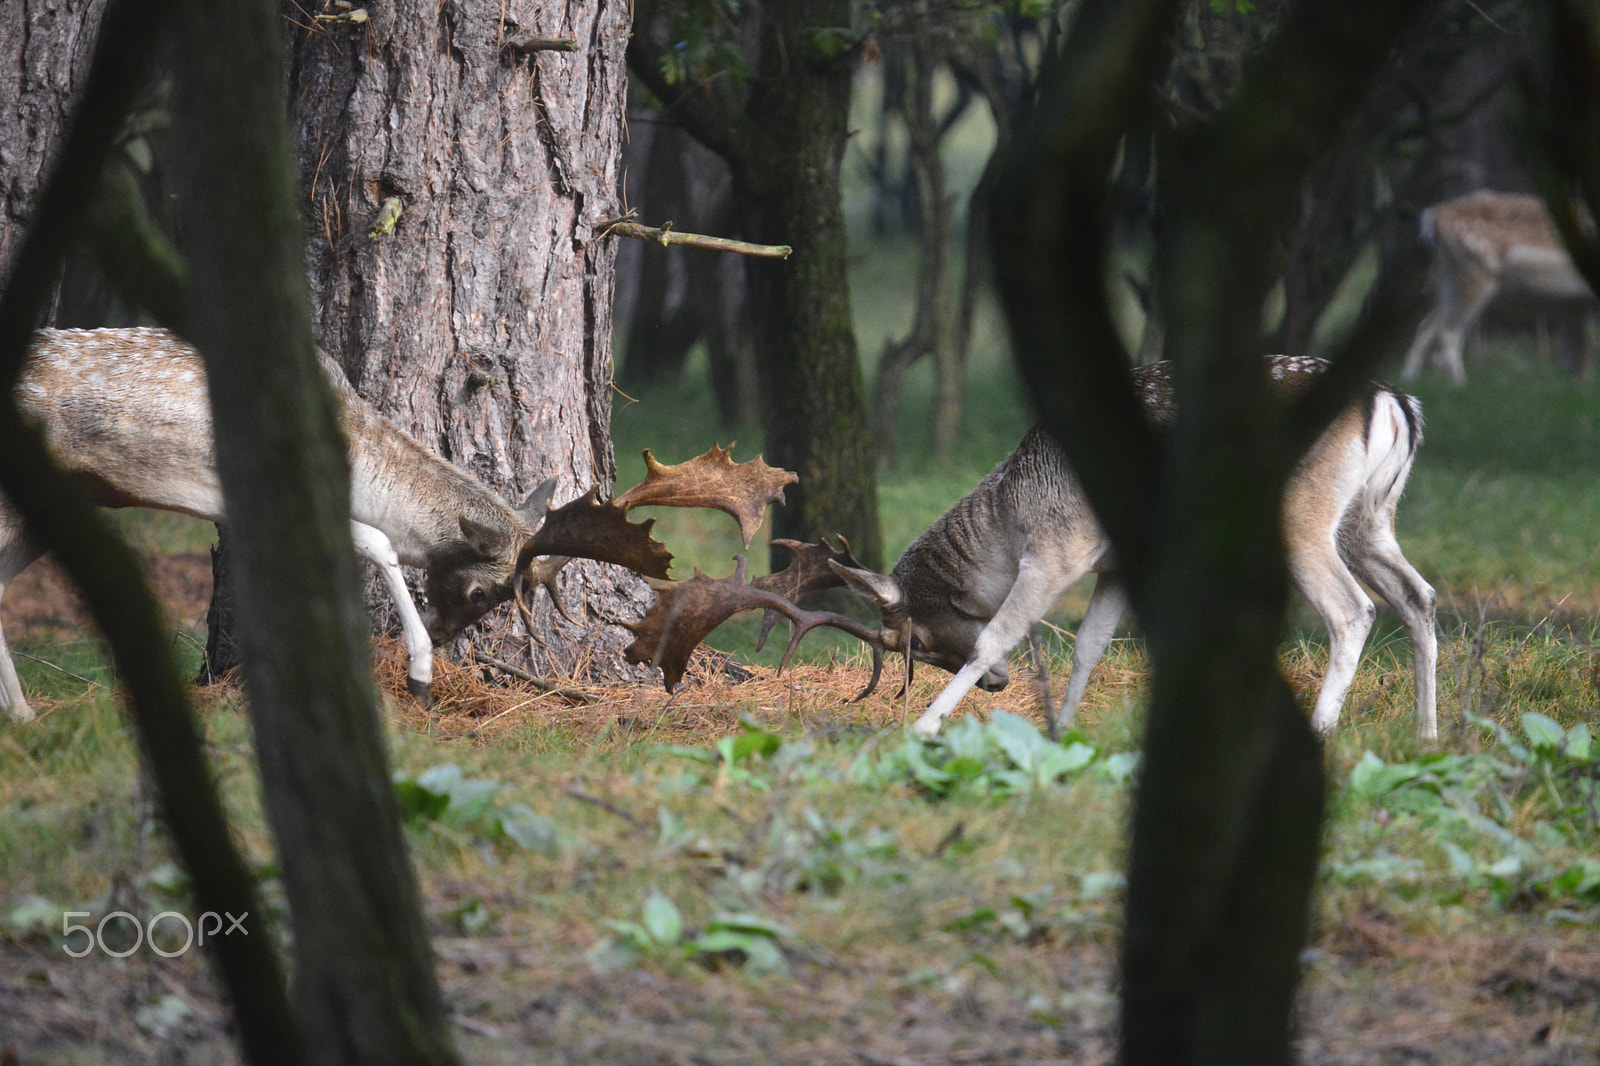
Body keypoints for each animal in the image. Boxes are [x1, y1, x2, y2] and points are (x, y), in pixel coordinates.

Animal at [626, 356, 1440, 742]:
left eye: (913, 640)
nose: (998, 690)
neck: (1007, 514)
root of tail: (1395, 402)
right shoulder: (1114, 563)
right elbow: (1089, 646)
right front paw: (1064, 730)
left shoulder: (1058, 547)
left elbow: (1002, 632)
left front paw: (927, 724)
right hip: (1371, 517)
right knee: (1420, 596)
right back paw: (1429, 730)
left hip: (1301, 517)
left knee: (1353, 610)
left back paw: (1325, 728)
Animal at [1402, 190, 1596, 385]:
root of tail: (1435, 215)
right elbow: (1583, 354)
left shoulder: (1573, 305)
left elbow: (1576, 357)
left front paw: (1578, 387)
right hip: (1476, 275)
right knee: (1448, 332)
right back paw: (1460, 384)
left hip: (1447, 279)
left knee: (1426, 326)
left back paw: (1410, 379)